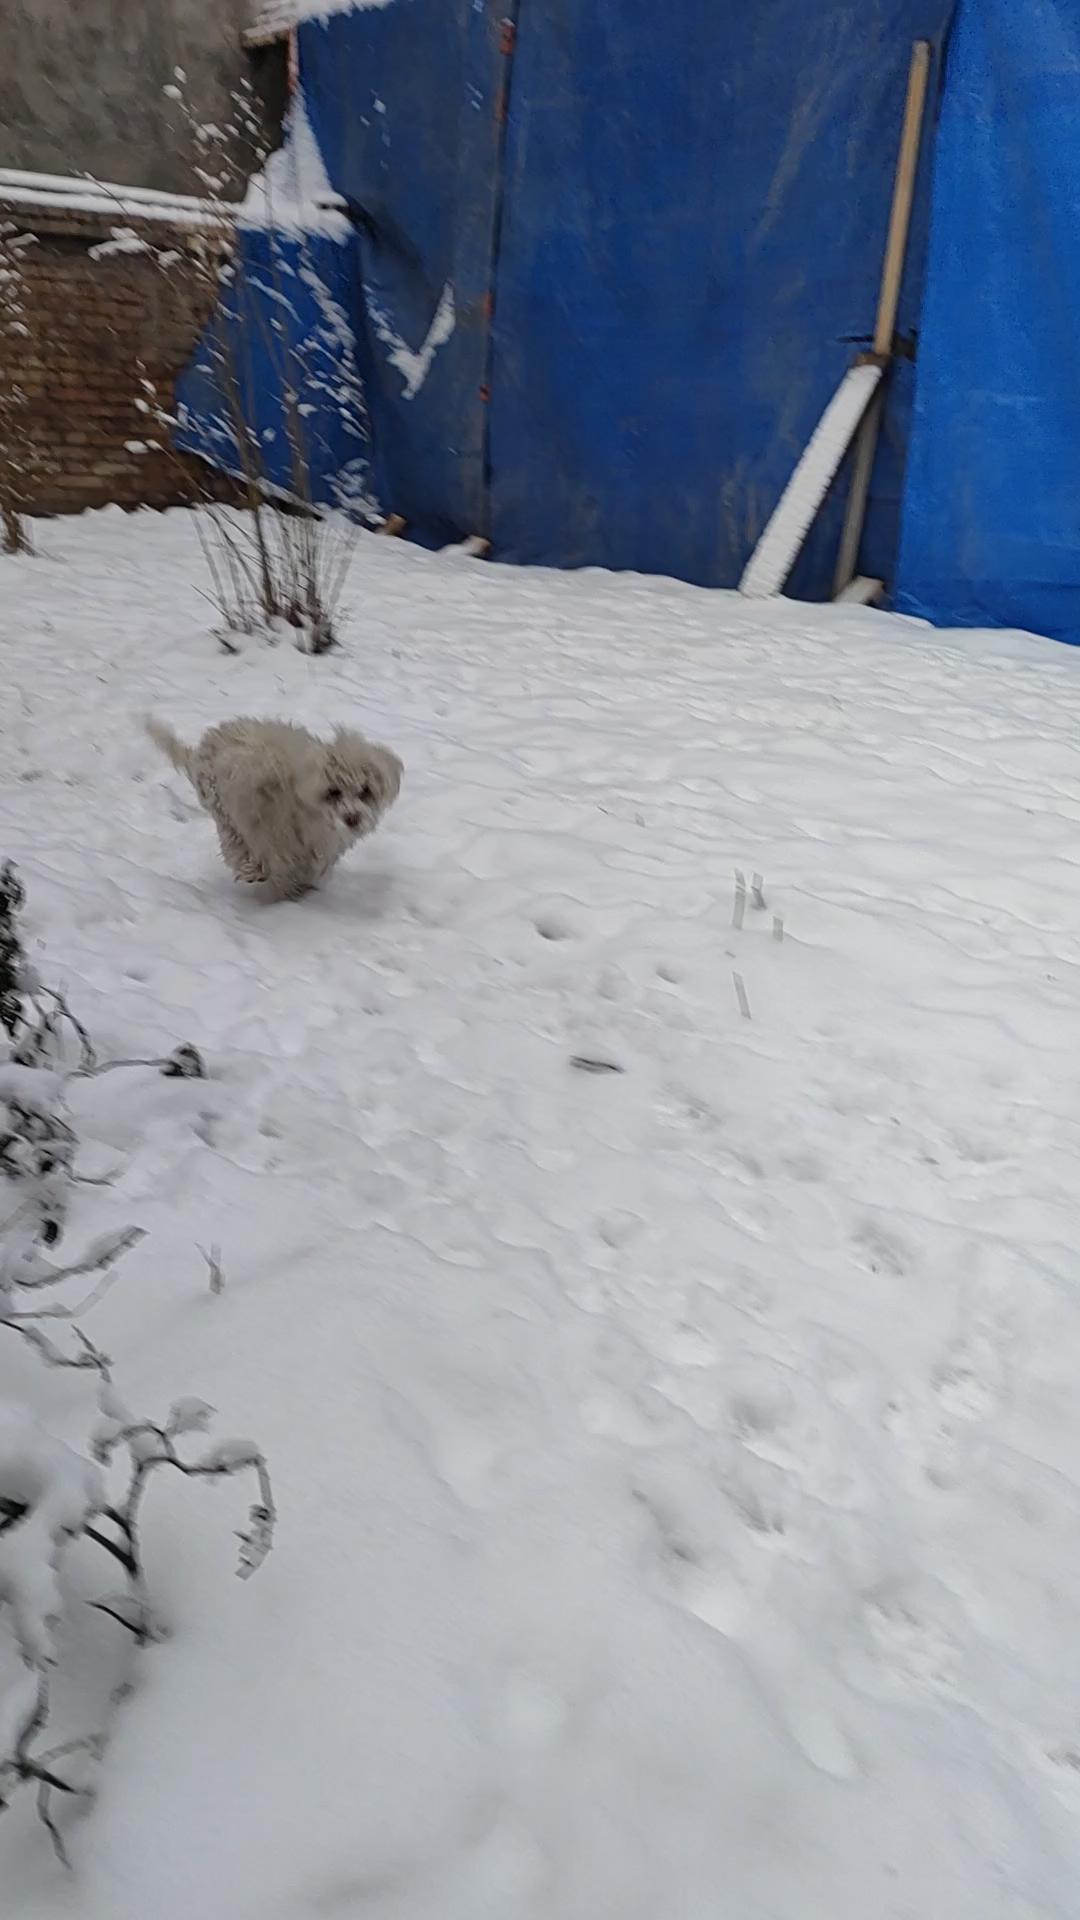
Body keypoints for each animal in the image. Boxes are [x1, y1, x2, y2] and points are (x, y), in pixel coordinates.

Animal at [146, 715, 402, 900]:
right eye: (333, 791)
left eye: (365, 791)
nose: (353, 818)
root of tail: (204, 746)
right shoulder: (272, 829)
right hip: (223, 808)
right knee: (234, 843)